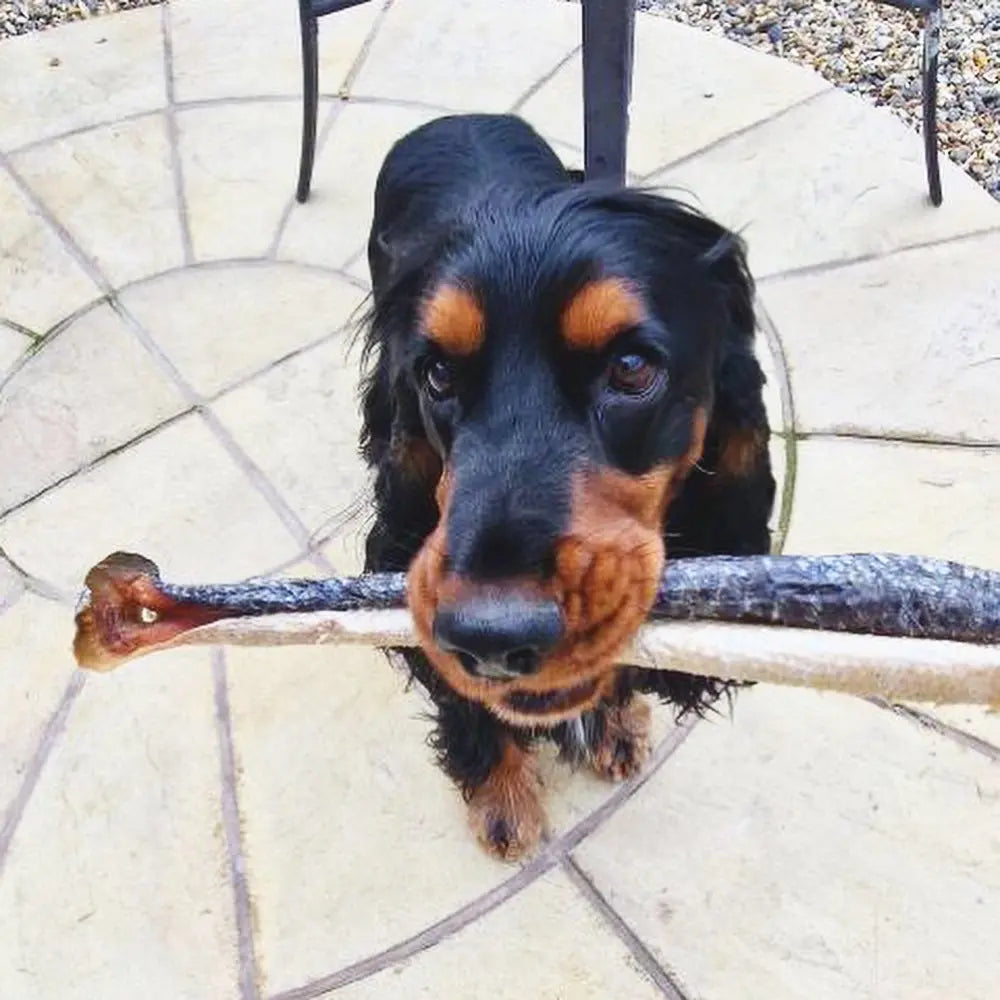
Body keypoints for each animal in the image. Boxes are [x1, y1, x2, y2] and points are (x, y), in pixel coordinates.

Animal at [358, 113, 772, 856]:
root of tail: (453, 118)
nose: (489, 638)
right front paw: (501, 798)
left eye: (632, 367)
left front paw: (612, 726)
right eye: (437, 374)